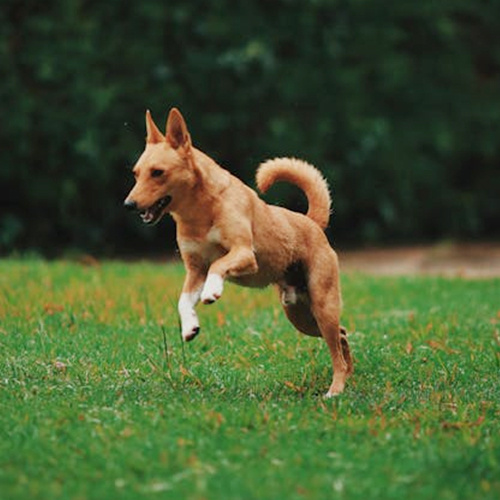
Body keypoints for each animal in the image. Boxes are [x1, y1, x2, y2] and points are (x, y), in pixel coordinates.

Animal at [123, 107, 354, 396]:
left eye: (157, 172)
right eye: (136, 173)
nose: (128, 204)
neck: (199, 213)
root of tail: (311, 222)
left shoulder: (244, 254)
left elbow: (218, 265)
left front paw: (212, 291)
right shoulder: (194, 270)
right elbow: (183, 299)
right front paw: (189, 326)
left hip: (322, 304)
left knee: (336, 347)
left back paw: (336, 389)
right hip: (299, 314)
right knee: (342, 336)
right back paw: (349, 375)